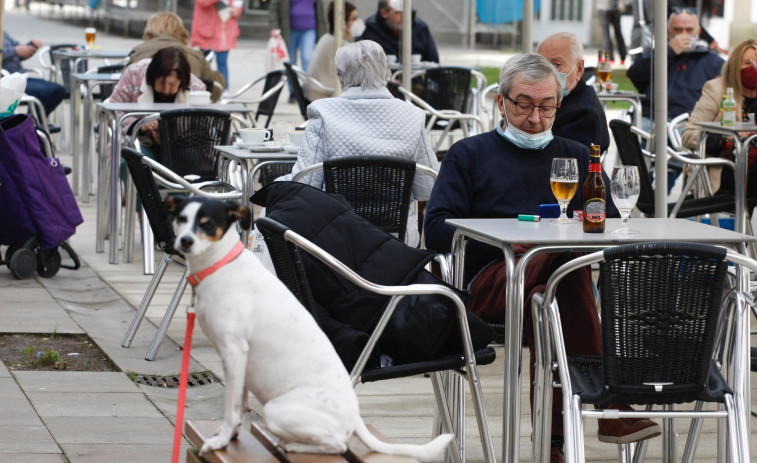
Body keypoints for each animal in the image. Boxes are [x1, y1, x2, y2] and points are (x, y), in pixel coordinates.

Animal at [164, 197, 448, 460]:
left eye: (208, 224)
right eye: (180, 218)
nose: (185, 241)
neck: (221, 265)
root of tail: (355, 415)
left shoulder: (234, 352)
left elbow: (231, 408)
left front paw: (220, 441)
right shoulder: (241, 362)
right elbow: (239, 404)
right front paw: (231, 436)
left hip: (276, 411)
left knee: (338, 444)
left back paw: (293, 446)